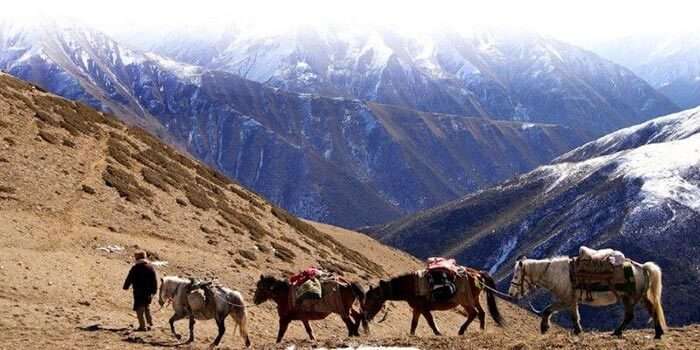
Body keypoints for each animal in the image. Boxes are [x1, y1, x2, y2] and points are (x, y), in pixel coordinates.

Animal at [360, 270, 504, 334]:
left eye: (371, 300)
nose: (366, 317)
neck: (411, 286)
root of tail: (477, 274)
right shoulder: (417, 309)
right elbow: (414, 324)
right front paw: (412, 335)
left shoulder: (424, 309)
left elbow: (430, 322)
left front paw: (438, 333)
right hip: (475, 299)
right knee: (482, 313)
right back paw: (481, 330)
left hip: (466, 302)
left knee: (473, 313)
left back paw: (461, 331)